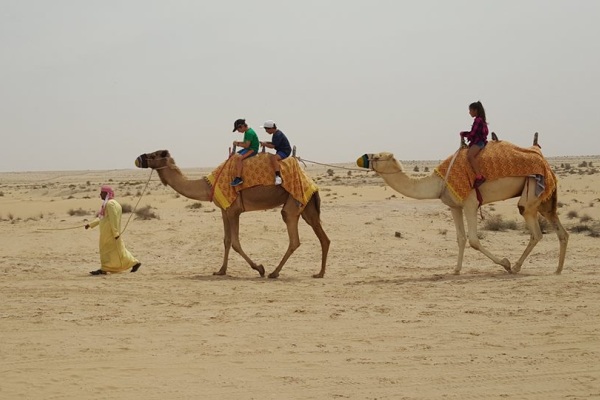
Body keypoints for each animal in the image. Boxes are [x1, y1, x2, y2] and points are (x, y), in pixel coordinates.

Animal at [134, 150, 330, 278]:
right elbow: (226, 240)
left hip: (293, 203)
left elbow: (235, 242)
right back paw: (319, 273)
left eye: (154, 155)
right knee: (323, 237)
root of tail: (310, 180)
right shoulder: (224, 210)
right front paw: (221, 270)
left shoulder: (234, 210)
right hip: (306, 205)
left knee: (294, 237)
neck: (208, 186)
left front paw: (259, 268)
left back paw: (274, 272)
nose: (138, 159)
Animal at [356, 137, 568, 276]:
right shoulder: (454, 206)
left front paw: (505, 263)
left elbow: (473, 239)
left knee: (535, 230)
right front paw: (456, 269)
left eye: (378, 156)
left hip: (531, 191)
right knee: (561, 231)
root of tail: (545, 163)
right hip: (544, 200)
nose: (361, 158)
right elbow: (460, 238)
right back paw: (558, 269)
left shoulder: (470, 203)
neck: (438, 182)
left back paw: (516, 267)